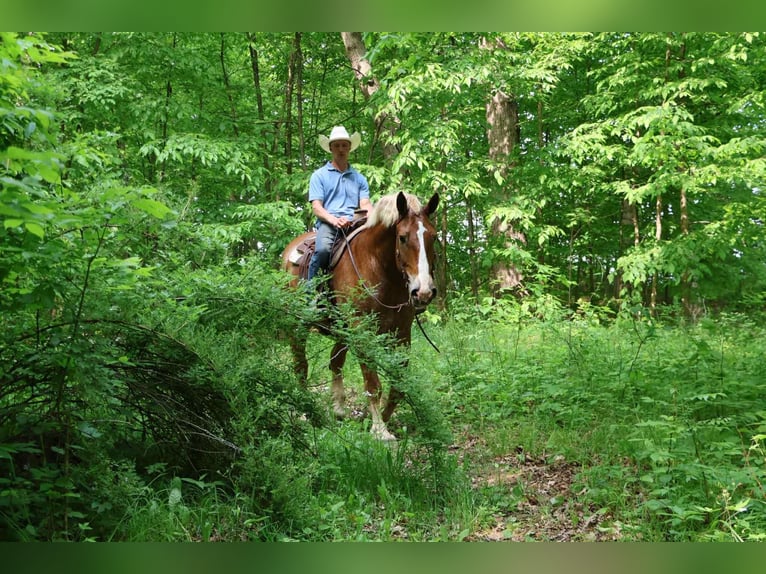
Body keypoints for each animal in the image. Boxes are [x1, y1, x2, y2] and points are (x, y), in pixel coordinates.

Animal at [281, 191, 440, 441]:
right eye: (403, 237)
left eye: (433, 237)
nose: (423, 291)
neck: (380, 268)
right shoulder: (362, 330)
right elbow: (373, 383)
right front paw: (380, 431)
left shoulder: (402, 333)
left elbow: (399, 384)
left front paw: (380, 419)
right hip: (298, 324)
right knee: (301, 365)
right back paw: (303, 410)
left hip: (343, 330)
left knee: (335, 362)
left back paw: (338, 409)